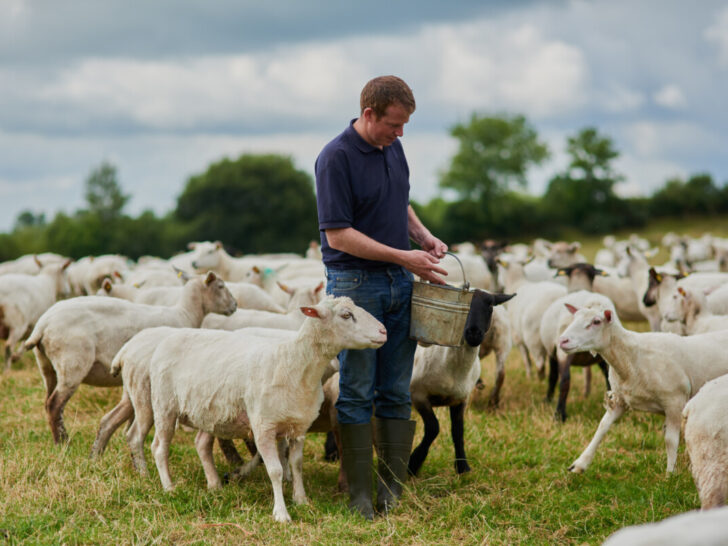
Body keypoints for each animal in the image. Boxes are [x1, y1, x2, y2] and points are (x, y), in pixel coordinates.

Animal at [24, 270, 236, 444]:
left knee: (48, 402)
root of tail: (43, 324)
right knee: (55, 404)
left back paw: (58, 438)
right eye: (220, 286)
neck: (185, 314)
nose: (235, 305)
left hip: (47, 367)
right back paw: (63, 442)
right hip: (72, 364)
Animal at [129, 296, 386, 520]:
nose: (384, 331)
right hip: (164, 405)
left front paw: (301, 500)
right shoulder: (263, 426)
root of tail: (168, 338)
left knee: (201, 444)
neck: (294, 363)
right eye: (346, 315)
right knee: (159, 447)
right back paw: (169, 487)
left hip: (210, 413)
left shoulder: (298, 427)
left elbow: (297, 465)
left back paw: (214, 485)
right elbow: (275, 470)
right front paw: (281, 513)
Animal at [406, 292, 516, 474]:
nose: (473, 333)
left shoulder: (460, 400)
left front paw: (463, 467)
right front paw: (413, 463)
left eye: (490, 306)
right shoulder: (418, 395)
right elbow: (433, 427)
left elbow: (458, 431)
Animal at [560, 294, 728, 472]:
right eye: (574, 318)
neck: (632, 357)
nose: (562, 340)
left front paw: (670, 474)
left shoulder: (674, 401)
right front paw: (580, 464)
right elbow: (602, 427)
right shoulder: (620, 400)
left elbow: (671, 440)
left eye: (596, 321)